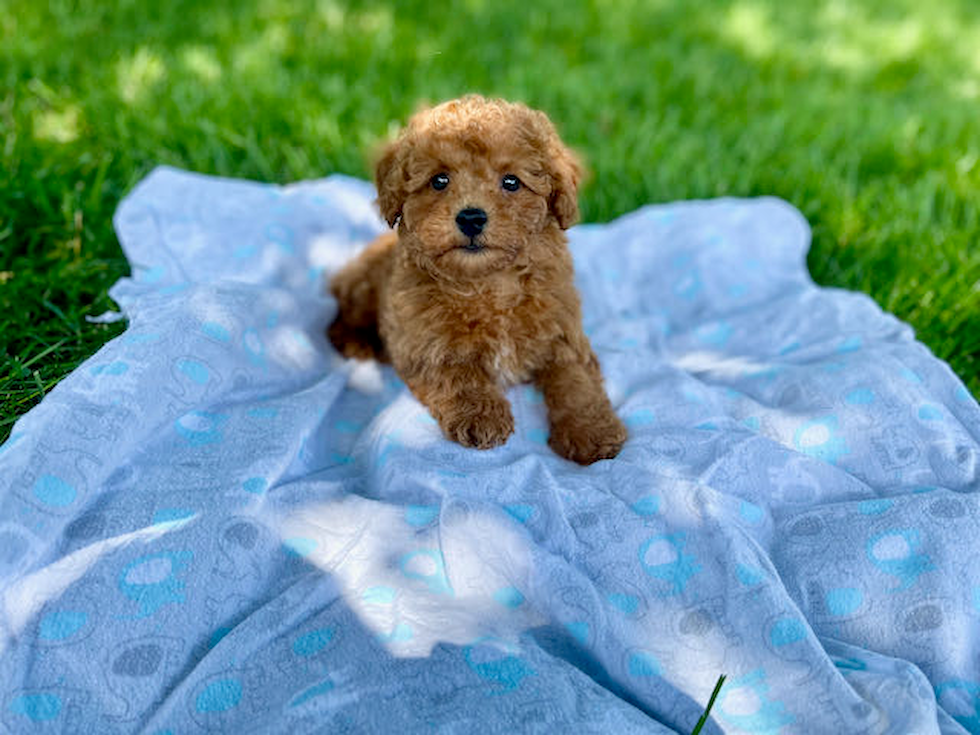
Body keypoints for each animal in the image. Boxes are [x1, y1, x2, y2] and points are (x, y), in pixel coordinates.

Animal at [326, 93, 624, 466]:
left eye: (511, 182)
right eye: (439, 180)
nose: (470, 217)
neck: (488, 284)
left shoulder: (562, 332)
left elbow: (576, 381)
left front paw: (591, 431)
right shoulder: (425, 343)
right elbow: (459, 373)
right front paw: (482, 416)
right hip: (363, 288)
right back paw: (359, 341)